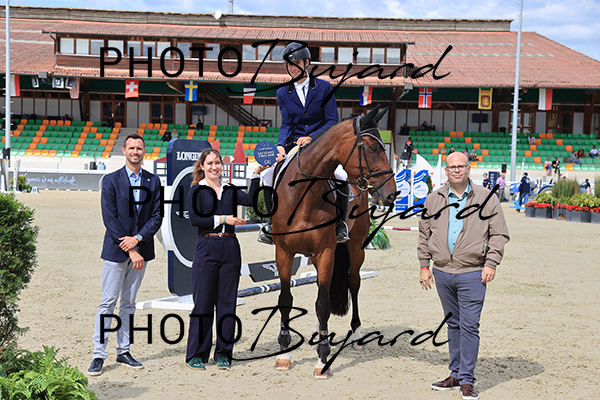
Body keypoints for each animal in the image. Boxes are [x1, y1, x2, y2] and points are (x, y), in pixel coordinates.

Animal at [269, 105, 398, 378]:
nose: (391, 194)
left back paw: (357, 336)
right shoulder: (283, 252)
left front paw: (322, 359)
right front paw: (284, 354)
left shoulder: (326, 251)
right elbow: (285, 300)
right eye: (373, 148)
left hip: (355, 249)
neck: (302, 196)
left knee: (354, 283)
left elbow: (322, 304)